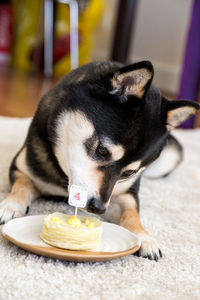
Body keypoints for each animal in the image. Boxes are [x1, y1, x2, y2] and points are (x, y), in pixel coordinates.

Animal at [0, 61, 198, 260]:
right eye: (102, 151)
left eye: (129, 172)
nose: (98, 208)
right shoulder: (21, 167)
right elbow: (23, 184)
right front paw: (11, 204)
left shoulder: (125, 193)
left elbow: (132, 211)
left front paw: (143, 236)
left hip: (171, 158)